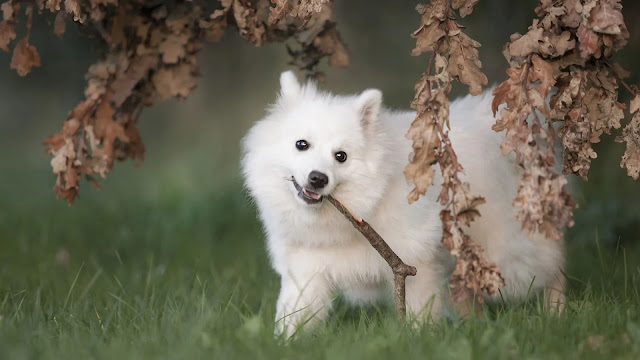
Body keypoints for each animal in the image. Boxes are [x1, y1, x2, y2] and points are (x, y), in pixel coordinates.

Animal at [241, 71, 564, 338]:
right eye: (302, 144)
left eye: (340, 156)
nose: (318, 178)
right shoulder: (307, 271)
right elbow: (293, 317)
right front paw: (284, 343)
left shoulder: (414, 264)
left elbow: (419, 312)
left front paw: (418, 339)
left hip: (509, 257)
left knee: (552, 268)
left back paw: (555, 313)